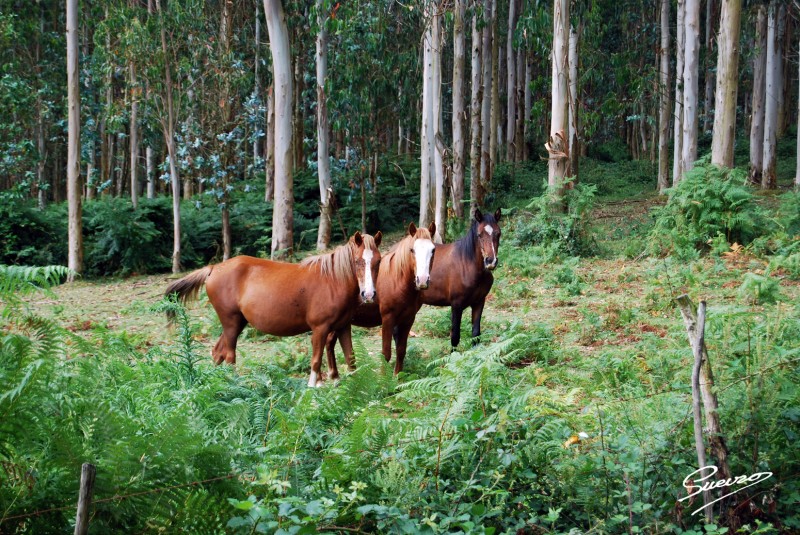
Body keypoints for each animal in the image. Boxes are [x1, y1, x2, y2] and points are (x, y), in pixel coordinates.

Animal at [162, 232, 382, 388]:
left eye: (378, 261)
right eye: (357, 261)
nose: (369, 294)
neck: (333, 280)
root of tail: (214, 268)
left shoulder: (343, 327)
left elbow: (351, 358)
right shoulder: (320, 329)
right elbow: (316, 360)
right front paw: (315, 386)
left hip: (236, 323)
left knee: (218, 352)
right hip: (231, 322)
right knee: (230, 355)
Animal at [418, 209, 500, 348]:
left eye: (498, 233)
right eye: (479, 235)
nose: (490, 261)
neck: (467, 265)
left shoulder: (479, 302)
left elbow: (476, 335)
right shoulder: (456, 305)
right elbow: (455, 337)